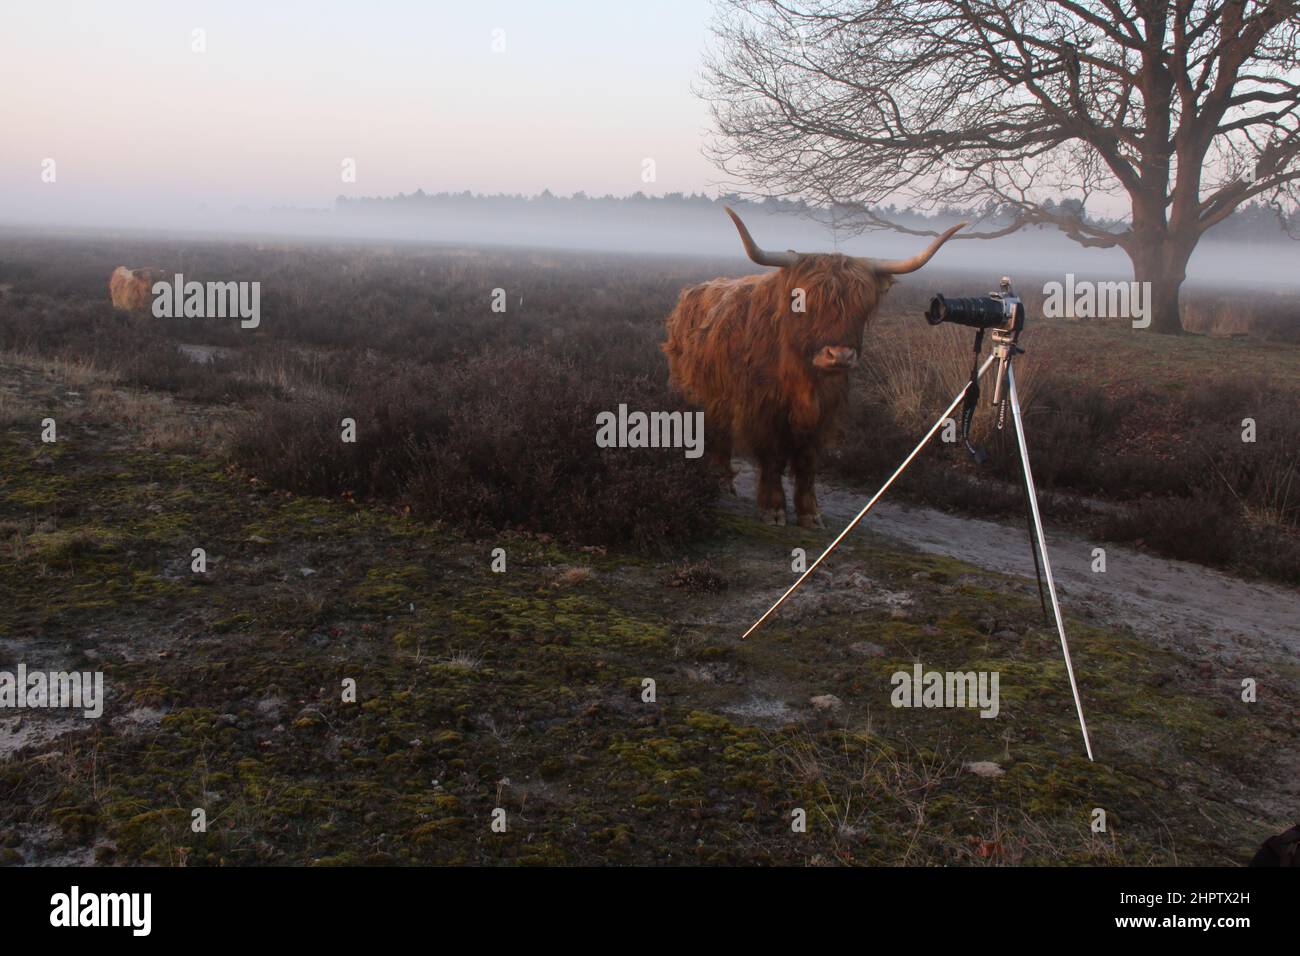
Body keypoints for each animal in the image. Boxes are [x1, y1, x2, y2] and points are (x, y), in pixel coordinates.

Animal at [665, 206, 961, 530]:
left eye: (861, 306)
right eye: (804, 302)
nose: (839, 355)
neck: (804, 379)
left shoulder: (823, 414)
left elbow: (807, 463)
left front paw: (810, 514)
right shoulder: (763, 410)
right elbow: (772, 459)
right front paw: (773, 510)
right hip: (703, 394)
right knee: (718, 434)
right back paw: (721, 480)